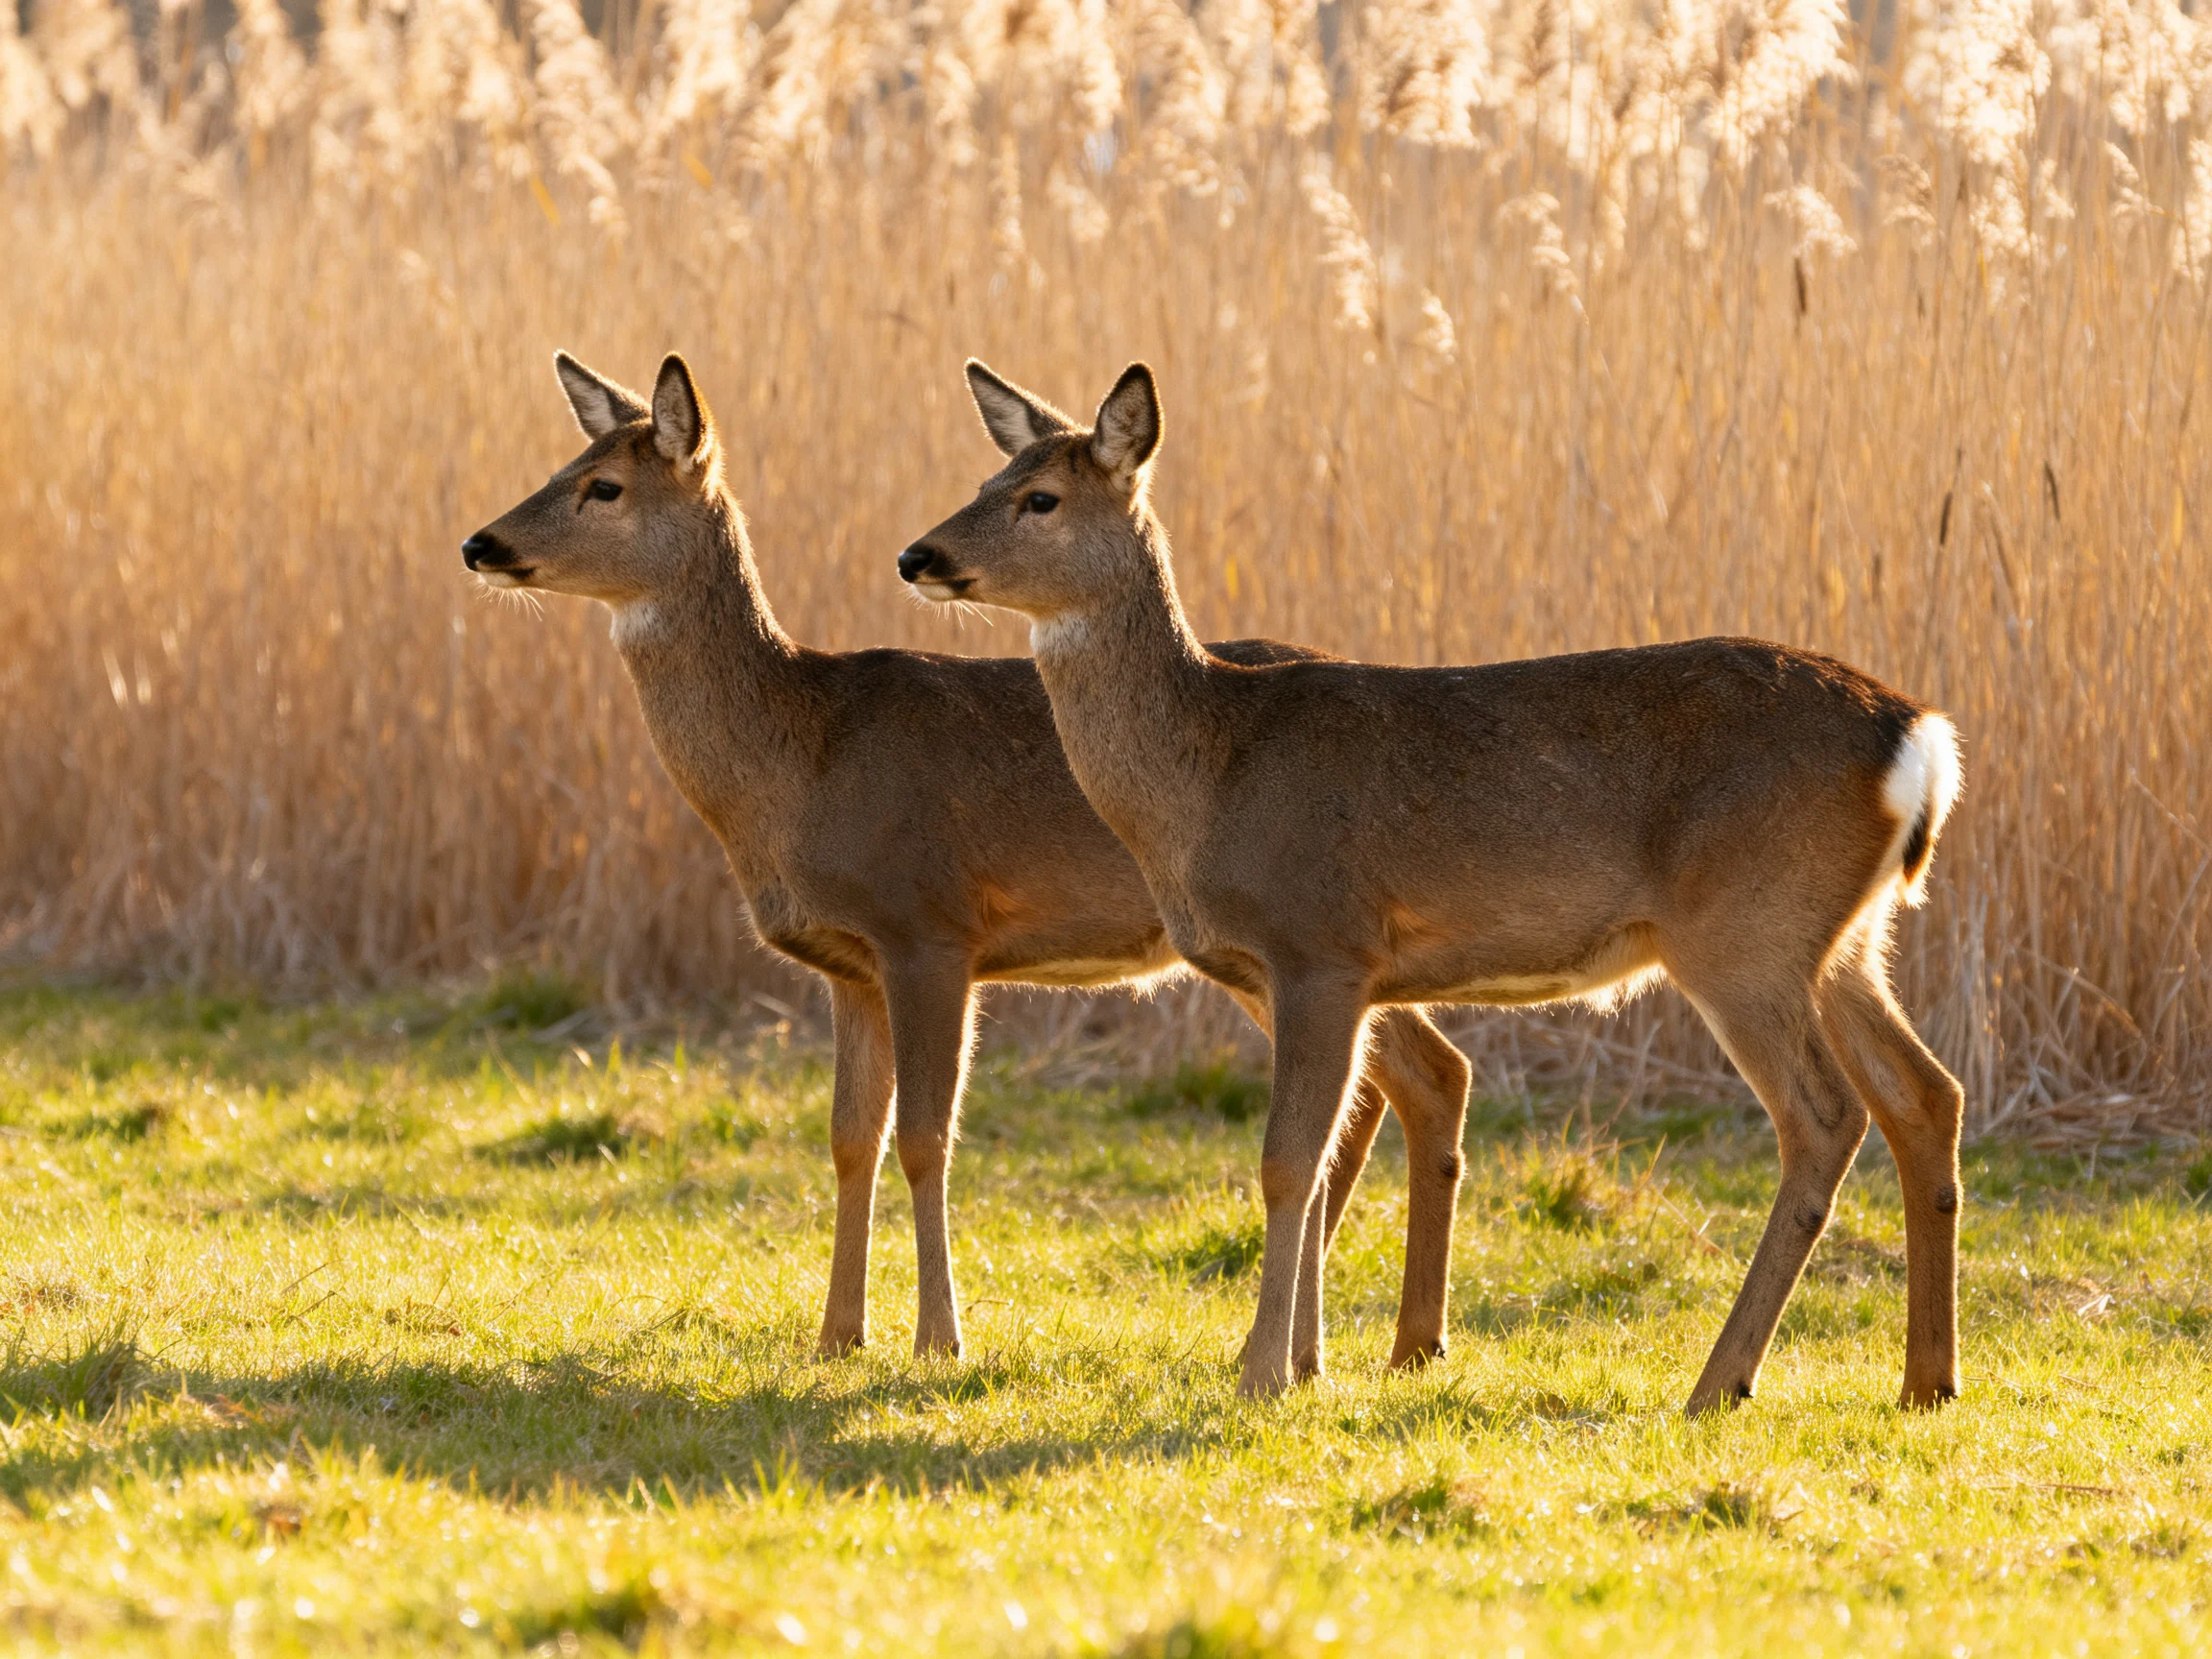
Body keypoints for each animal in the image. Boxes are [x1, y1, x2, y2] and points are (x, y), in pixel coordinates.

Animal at [459, 352, 1474, 1373]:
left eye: (603, 485)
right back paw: (1389, 1344)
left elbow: (923, 1137)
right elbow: (849, 1137)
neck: (803, 757)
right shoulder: (848, 964)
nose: (479, 543)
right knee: (1420, 1077)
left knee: (1400, 1083)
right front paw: (837, 1334)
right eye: (562, 464)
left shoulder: (929, 925)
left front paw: (938, 1340)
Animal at [897, 359, 1967, 1411]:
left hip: (1744, 931)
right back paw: (1927, 1379)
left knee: (1825, 1118)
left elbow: (1289, 1161)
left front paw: (1261, 1374)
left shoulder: (1321, 946)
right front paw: (1299, 1362)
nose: (917, 556)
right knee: (1925, 1092)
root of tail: (1917, 737)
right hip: (1843, 939)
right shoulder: (1310, 971)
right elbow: (1327, 1152)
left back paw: (1721, 1382)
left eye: (1040, 498)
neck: (1210, 774)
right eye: (987, 479)